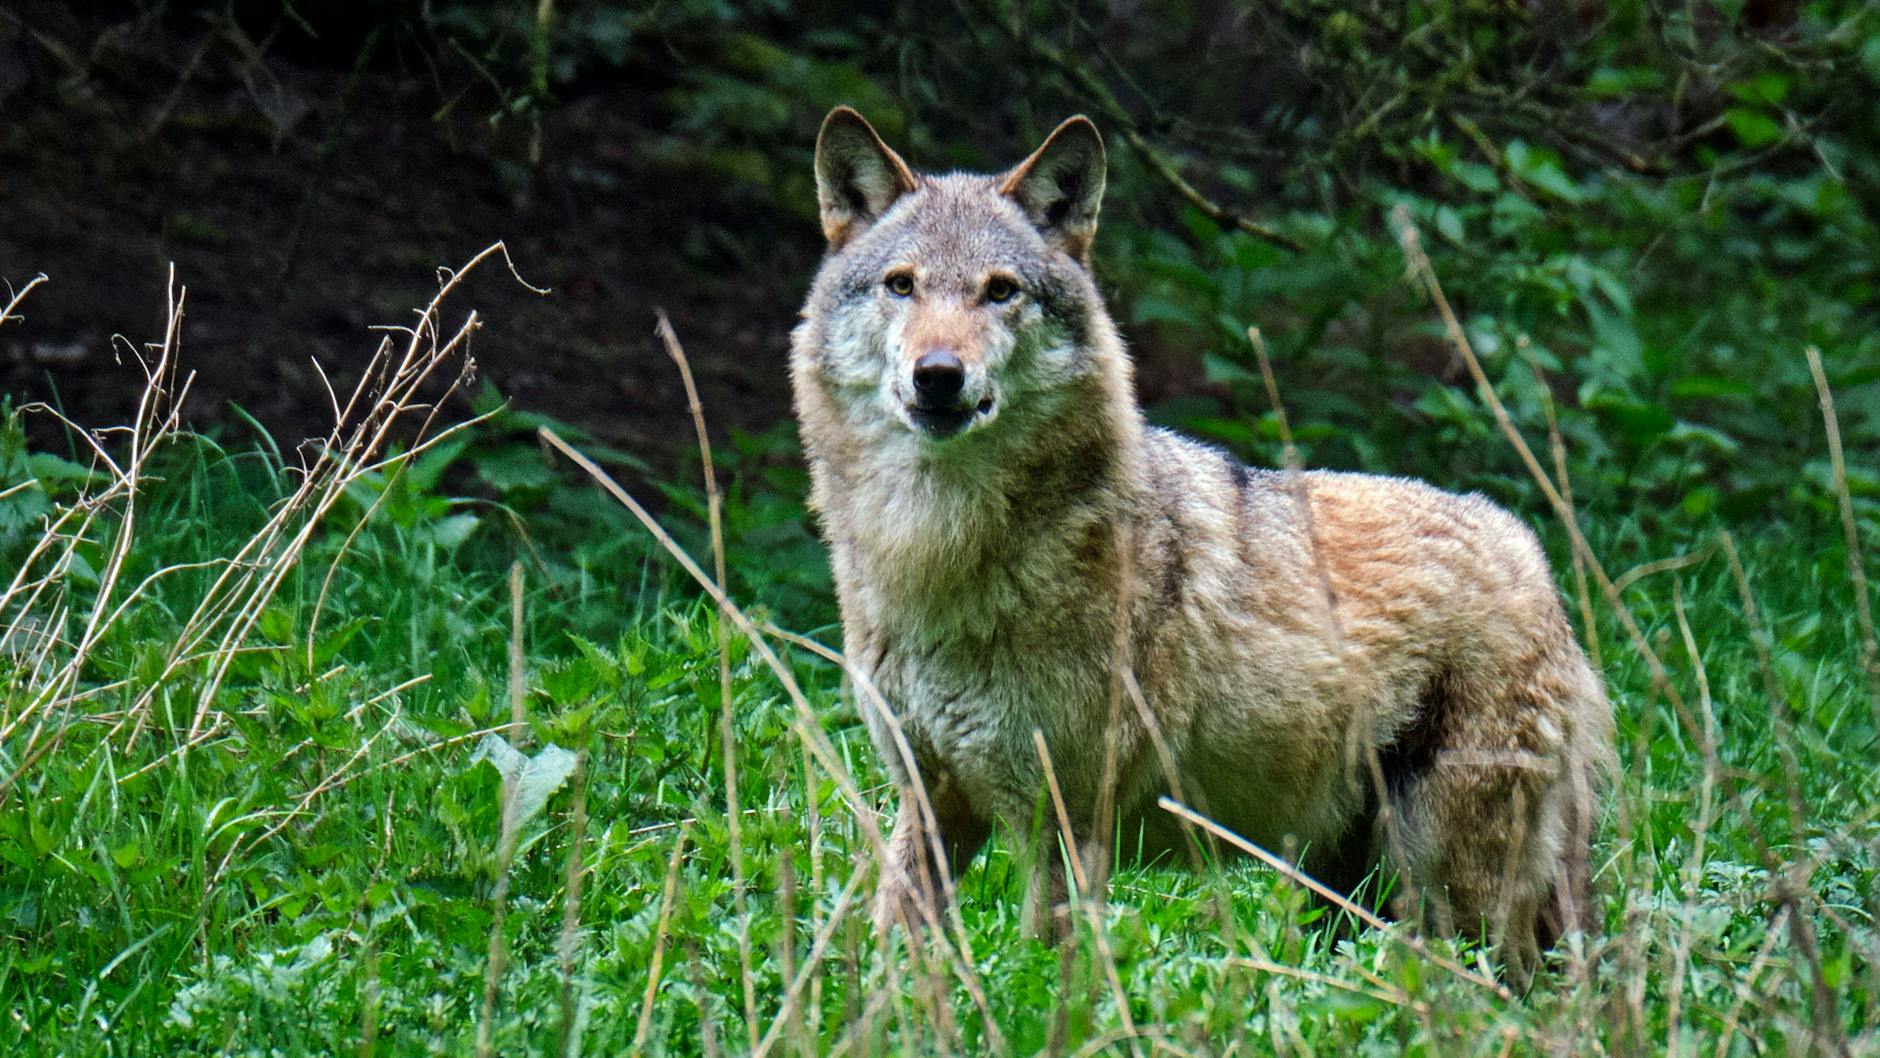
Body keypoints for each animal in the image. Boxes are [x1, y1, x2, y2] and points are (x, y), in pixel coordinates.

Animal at [789, 106, 1613, 969]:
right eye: (902, 285)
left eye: (1000, 291)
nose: (939, 374)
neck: (938, 554)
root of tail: (1534, 557)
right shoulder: (929, 804)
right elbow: (893, 952)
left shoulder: (1067, 824)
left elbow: (1050, 971)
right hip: (1346, 896)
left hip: (1451, 897)